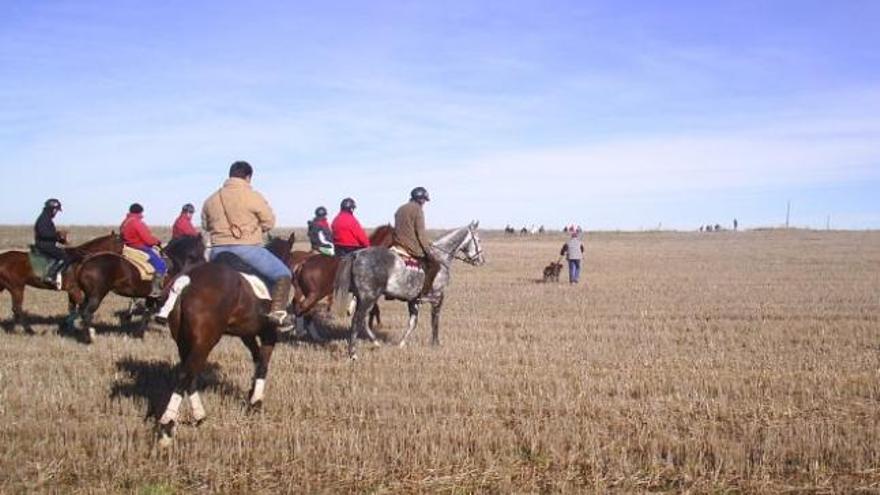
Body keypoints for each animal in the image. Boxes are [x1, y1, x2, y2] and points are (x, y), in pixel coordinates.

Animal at [74, 234, 206, 342]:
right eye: (202, 248)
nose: (205, 263)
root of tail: (85, 262)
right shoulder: (165, 296)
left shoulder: (151, 297)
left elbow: (147, 314)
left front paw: (140, 334)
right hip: (96, 296)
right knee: (86, 313)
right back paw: (90, 337)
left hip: (88, 296)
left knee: (82, 311)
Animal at [155, 232, 296, 446]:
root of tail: (186, 281)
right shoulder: (269, 333)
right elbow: (263, 364)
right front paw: (256, 402)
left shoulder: (246, 334)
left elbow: (256, 358)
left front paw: (251, 393)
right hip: (205, 341)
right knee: (185, 375)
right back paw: (167, 427)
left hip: (185, 342)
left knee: (189, 375)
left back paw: (199, 416)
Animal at [332, 224, 484, 360]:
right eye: (478, 239)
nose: (481, 261)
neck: (441, 258)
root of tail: (357, 255)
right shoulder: (437, 297)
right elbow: (434, 320)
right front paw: (435, 343)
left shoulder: (413, 300)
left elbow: (412, 323)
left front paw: (401, 344)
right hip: (368, 298)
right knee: (357, 320)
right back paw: (353, 354)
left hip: (363, 298)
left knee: (362, 320)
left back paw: (374, 343)